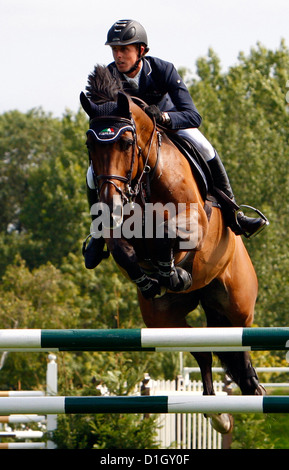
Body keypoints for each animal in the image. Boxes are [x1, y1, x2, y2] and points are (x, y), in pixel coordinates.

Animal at [80, 65, 264, 434]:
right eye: (91, 144)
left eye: (126, 142)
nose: (110, 204)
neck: (145, 177)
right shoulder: (119, 234)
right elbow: (122, 250)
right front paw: (152, 279)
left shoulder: (196, 224)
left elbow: (168, 234)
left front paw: (171, 272)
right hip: (163, 320)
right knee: (204, 352)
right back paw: (218, 415)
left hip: (236, 303)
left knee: (239, 349)